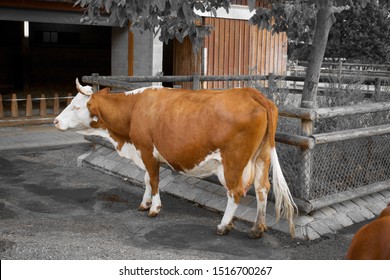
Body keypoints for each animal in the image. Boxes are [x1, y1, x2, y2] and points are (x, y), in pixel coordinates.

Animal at [54, 79, 298, 238]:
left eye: (76, 105)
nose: (55, 121)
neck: (134, 109)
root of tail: (251, 92)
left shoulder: (147, 150)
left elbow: (153, 180)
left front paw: (154, 208)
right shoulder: (145, 153)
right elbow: (146, 179)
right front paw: (144, 203)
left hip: (233, 162)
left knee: (236, 192)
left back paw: (223, 226)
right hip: (262, 157)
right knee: (262, 189)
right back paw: (257, 228)